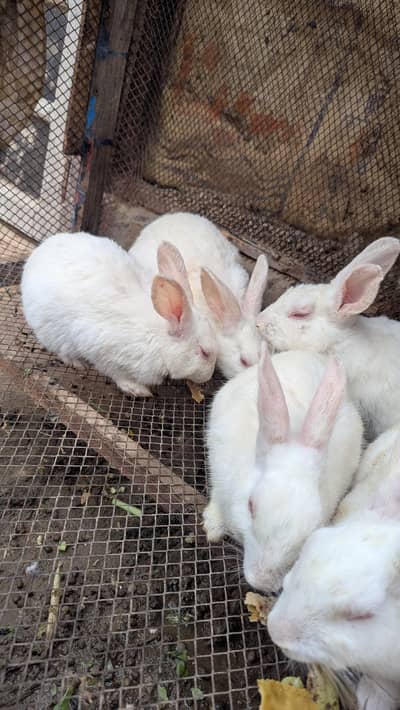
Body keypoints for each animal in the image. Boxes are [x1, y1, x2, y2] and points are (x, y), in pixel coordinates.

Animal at [21, 232, 217, 396]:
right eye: (204, 352)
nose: (208, 377)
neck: (158, 338)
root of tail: (37, 254)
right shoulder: (102, 351)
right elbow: (116, 373)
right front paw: (138, 390)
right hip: (53, 333)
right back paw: (77, 363)